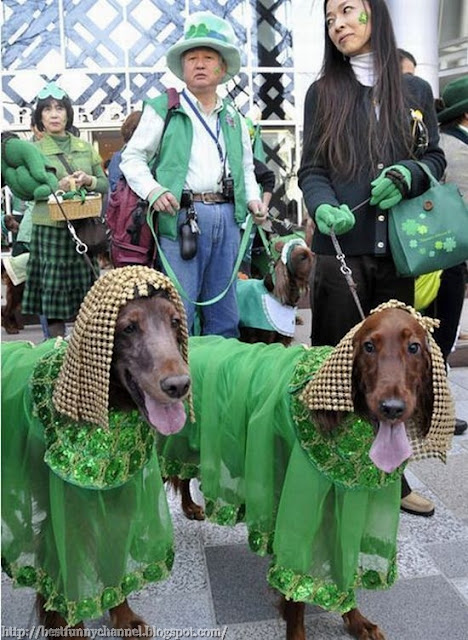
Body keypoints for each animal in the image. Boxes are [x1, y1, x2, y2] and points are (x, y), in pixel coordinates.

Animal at [1, 268, 192, 636]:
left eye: (175, 321)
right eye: (128, 328)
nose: (178, 386)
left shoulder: (117, 499)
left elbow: (113, 561)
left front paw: (123, 615)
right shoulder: (64, 510)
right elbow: (65, 579)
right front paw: (68, 628)